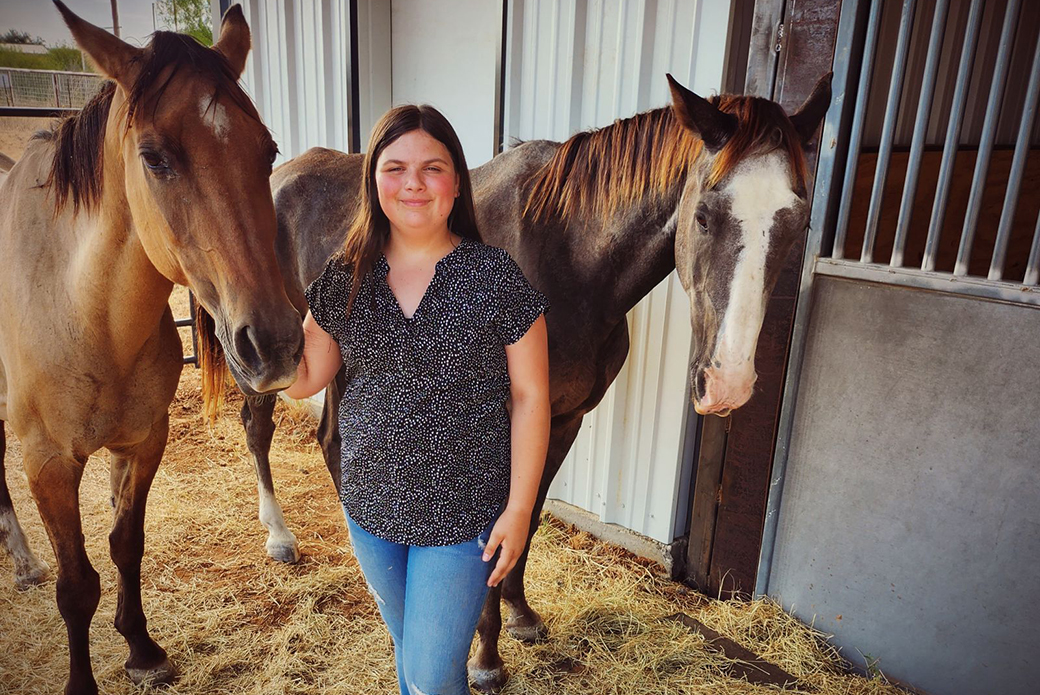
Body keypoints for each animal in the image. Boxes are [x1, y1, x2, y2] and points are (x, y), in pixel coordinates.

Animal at [0, 5, 301, 695]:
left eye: (267, 150)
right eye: (155, 158)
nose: (274, 343)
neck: (86, 317)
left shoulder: (143, 440)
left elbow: (125, 546)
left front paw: (141, 649)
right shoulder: (46, 464)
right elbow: (76, 585)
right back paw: (24, 562)